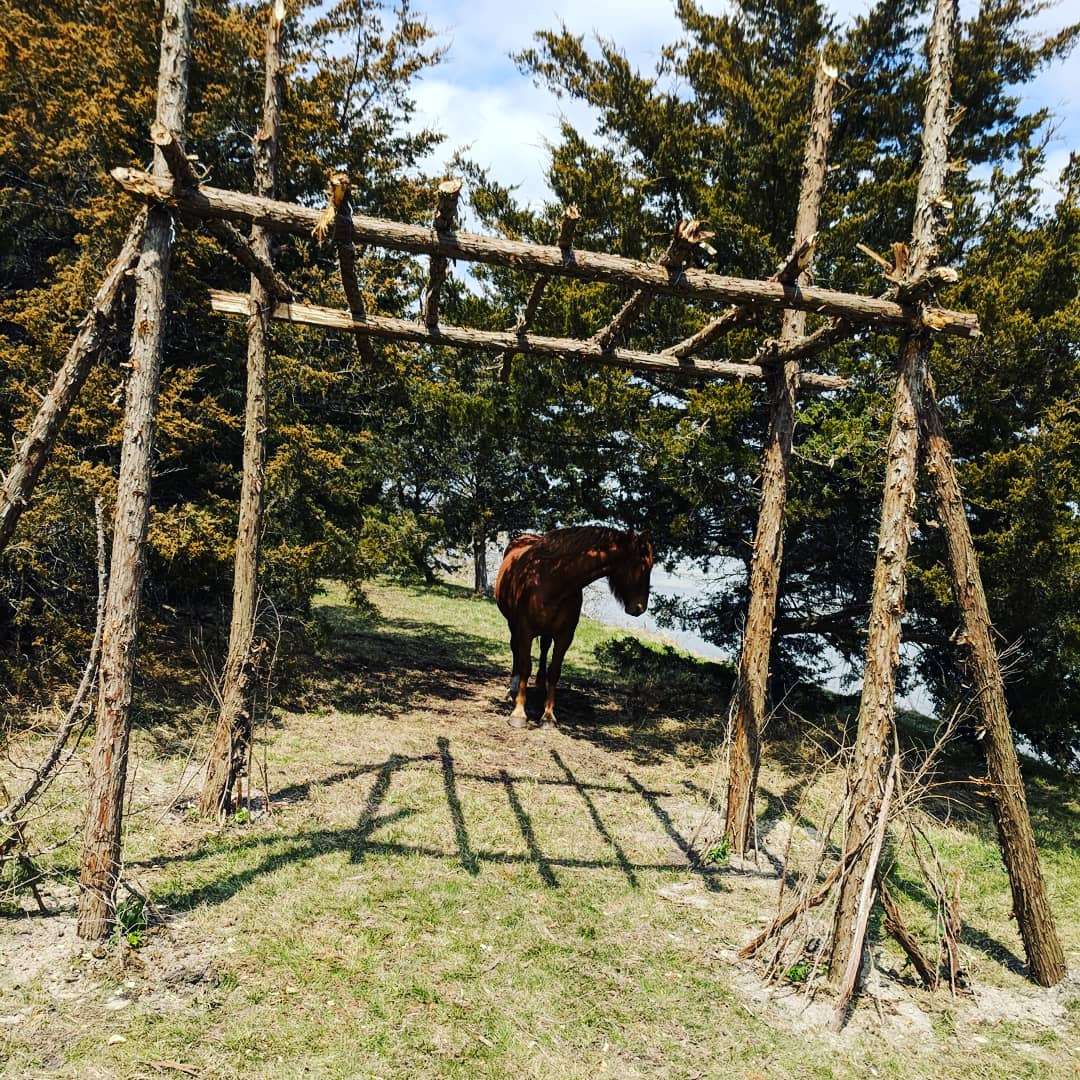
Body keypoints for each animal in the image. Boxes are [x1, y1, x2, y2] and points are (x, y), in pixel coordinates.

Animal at [494, 526, 654, 728]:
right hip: (513, 625)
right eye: (643, 565)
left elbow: (554, 672)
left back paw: (539, 685)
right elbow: (525, 667)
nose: (640, 607)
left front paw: (548, 716)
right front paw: (518, 714)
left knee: (544, 648)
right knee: (516, 650)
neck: (551, 579)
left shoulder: (565, 635)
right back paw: (512, 689)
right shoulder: (525, 631)